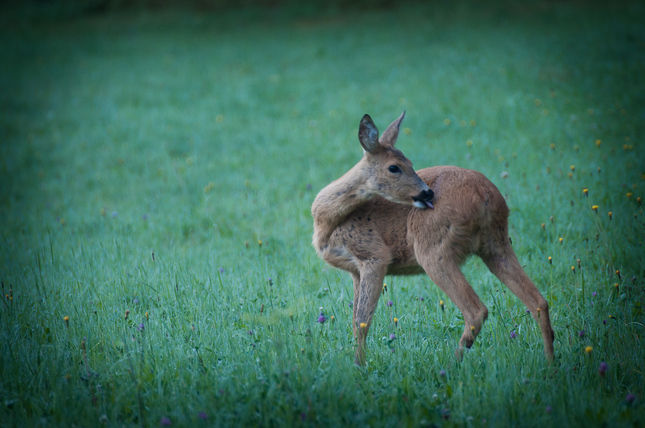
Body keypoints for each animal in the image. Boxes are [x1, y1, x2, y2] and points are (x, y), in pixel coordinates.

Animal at [312, 110, 552, 364]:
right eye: (394, 167)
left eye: (410, 164)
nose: (427, 192)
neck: (326, 221)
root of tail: (486, 195)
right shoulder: (355, 271)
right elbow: (354, 320)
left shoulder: (375, 256)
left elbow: (362, 322)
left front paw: (360, 365)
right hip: (497, 243)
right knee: (539, 302)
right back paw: (550, 363)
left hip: (432, 248)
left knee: (476, 310)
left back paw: (453, 363)